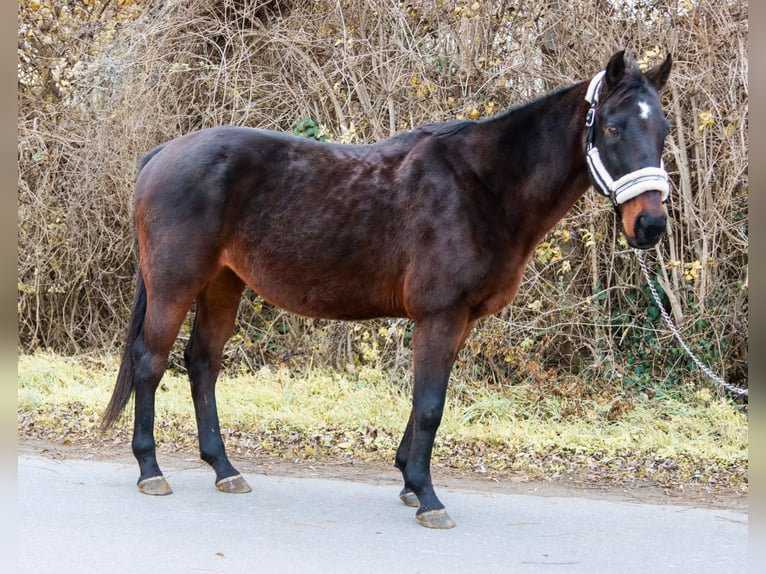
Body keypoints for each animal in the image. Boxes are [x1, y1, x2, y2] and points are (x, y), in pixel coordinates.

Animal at [100, 50, 672, 532]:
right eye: (614, 127)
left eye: (663, 129)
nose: (650, 226)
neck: (482, 186)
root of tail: (161, 154)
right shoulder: (440, 316)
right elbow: (430, 405)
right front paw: (428, 497)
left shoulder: (459, 321)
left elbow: (427, 401)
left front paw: (408, 481)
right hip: (174, 286)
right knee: (151, 361)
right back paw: (150, 469)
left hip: (224, 284)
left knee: (202, 363)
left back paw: (224, 469)